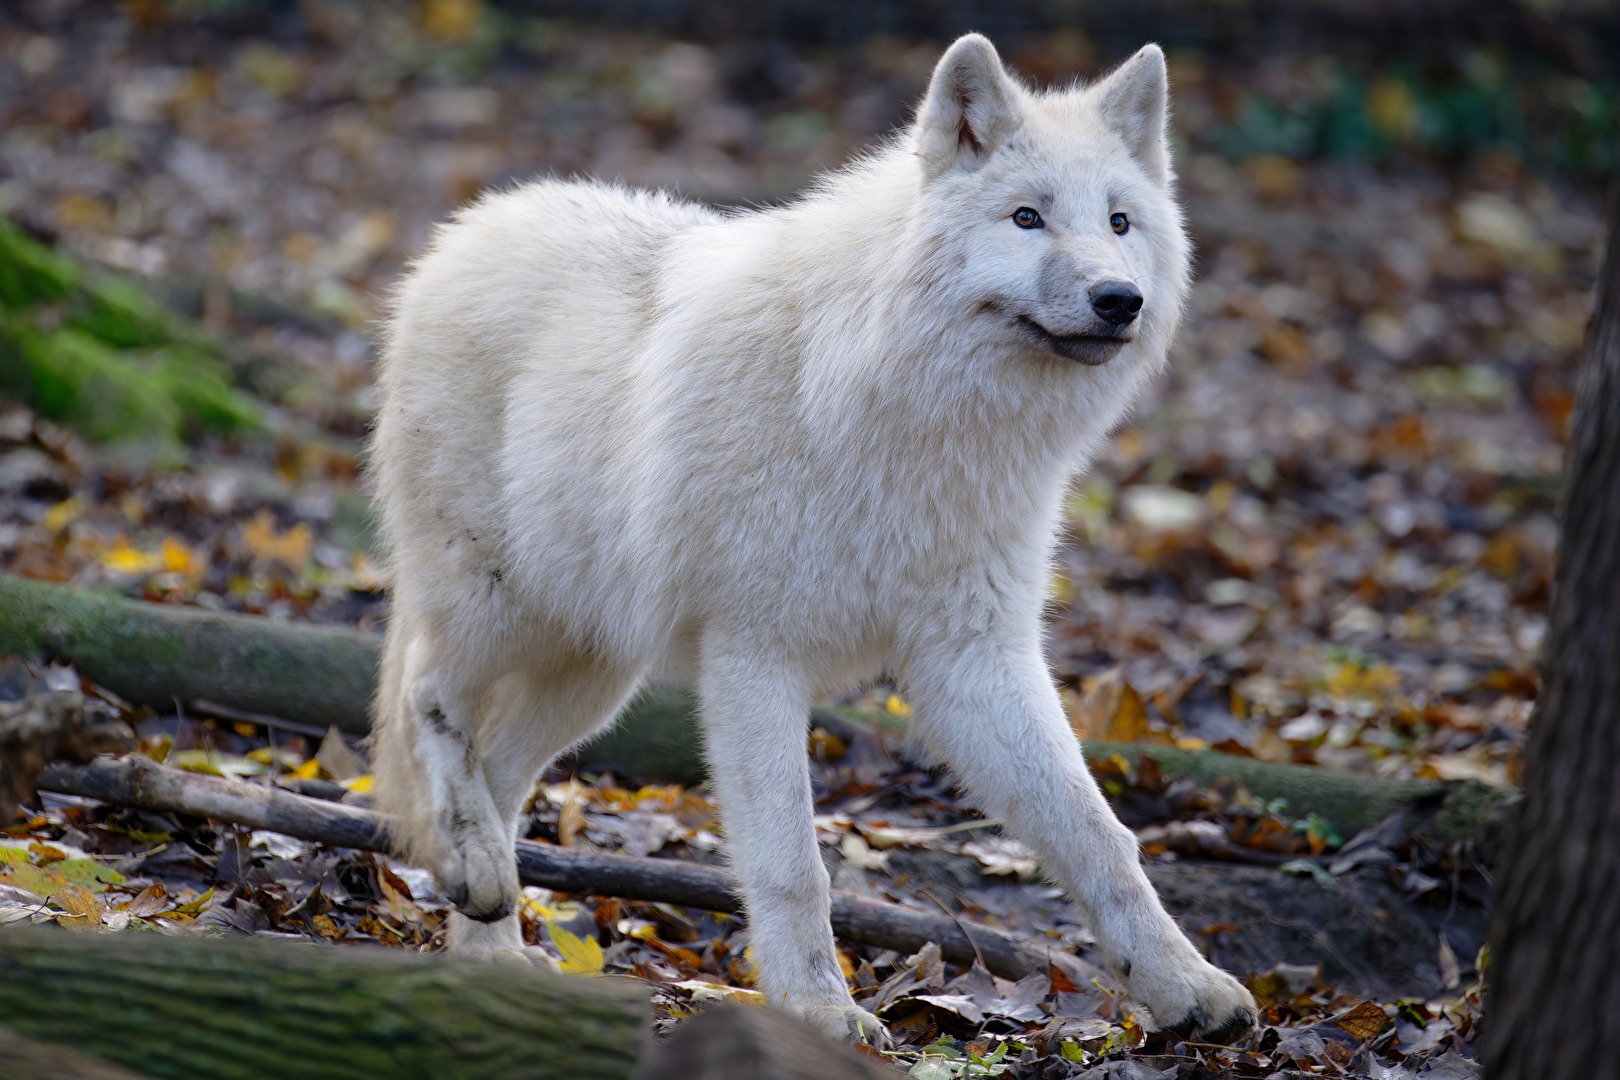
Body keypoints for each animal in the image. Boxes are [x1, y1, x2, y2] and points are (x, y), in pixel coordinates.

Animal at [369, 34, 1257, 1045]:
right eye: (1027, 217)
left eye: (1119, 222)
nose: (1120, 299)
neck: (910, 424)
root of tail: (470, 224)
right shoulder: (756, 659)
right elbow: (795, 863)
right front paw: (819, 1012)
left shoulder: (975, 661)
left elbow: (1100, 835)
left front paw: (1186, 986)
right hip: (499, 609)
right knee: (425, 694)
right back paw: (472, 868)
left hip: (594, 674)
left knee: (500, 768)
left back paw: (490, 946)